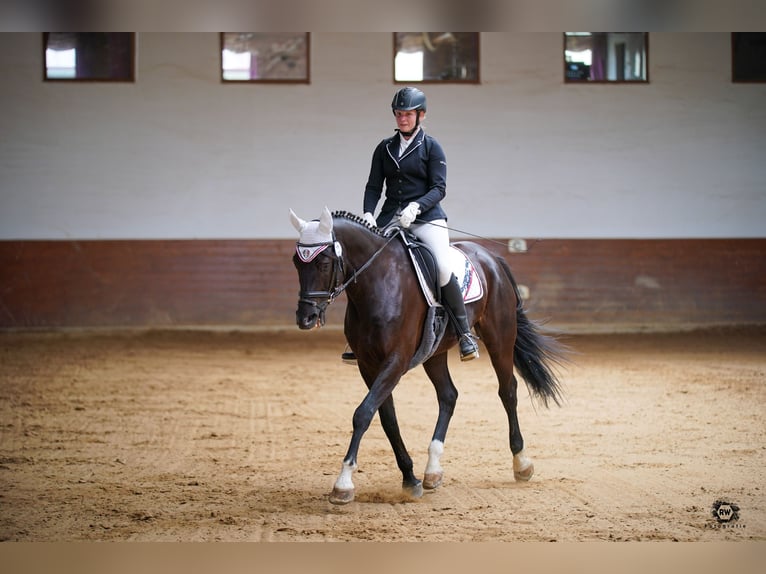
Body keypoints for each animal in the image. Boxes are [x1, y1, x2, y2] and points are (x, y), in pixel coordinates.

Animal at [292, 209, 568, 506]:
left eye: (324, 263)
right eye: (297, 262)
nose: (305, 318)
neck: (378, 282)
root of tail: (491, 257)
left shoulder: (396, 360)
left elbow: (362, 414)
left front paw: (343, 483)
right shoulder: (368, 365)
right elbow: (387, 419)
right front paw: (410, 479)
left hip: (500, 338)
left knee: (508, 391)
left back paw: (522, 462)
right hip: (434, 352)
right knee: (448, 395)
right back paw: (432, 470)